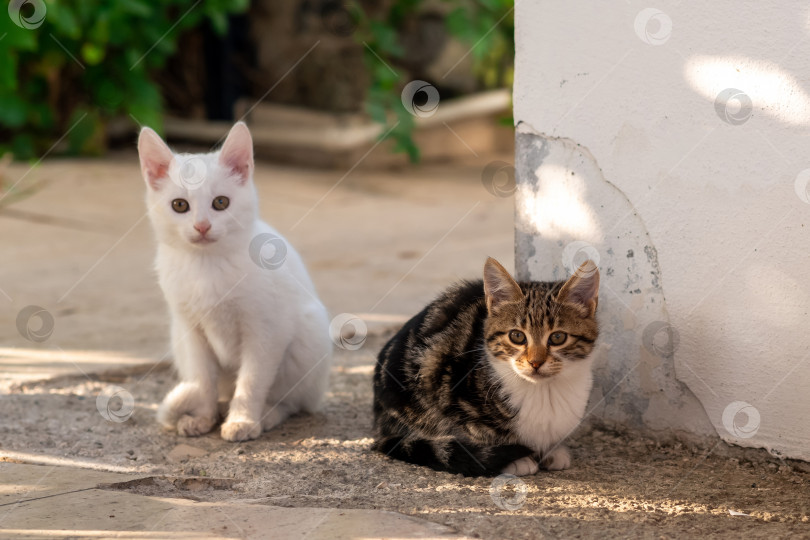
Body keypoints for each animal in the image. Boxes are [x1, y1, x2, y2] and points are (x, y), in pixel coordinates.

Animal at [139, 123, 332, 442]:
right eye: (179, 205)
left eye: (221, 202)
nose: (202, 226)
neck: (207, 266)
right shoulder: (190, 329)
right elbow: (202, 378)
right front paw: (203, 417)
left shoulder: (266, 330)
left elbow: (252, 380)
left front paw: (243, 420)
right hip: (177, 337)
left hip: (309, 335)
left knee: (295, 402)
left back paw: (267, 414)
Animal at [370, 258, 592, 476]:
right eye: (517, 336)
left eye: (558, 337)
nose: (535, 362)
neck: (544, 390)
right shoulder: (452, 391)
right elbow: (476, 433)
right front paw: (515, 460)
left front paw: (553, 450)